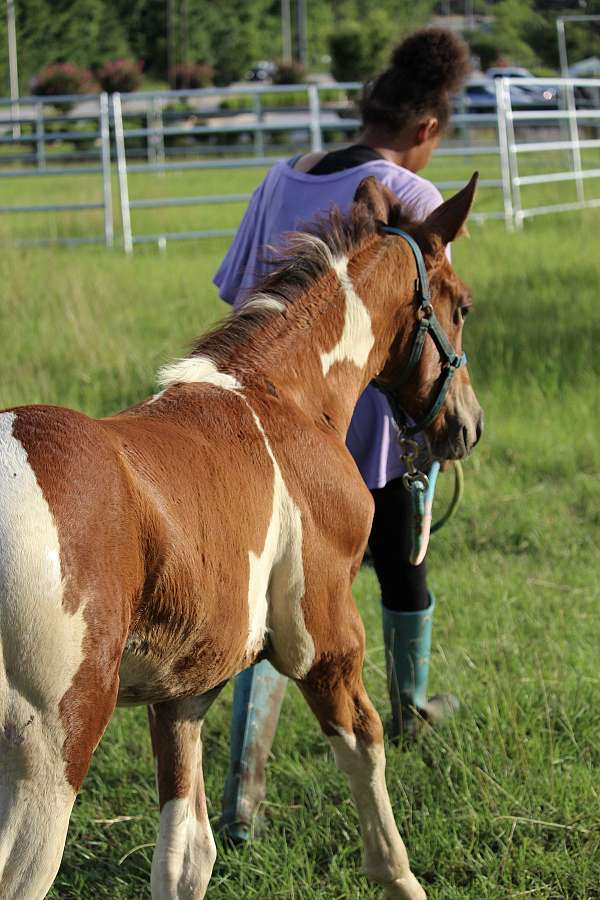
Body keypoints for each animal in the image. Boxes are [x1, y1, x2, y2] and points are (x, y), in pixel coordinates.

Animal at [0, 172, 480, 896]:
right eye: (462, 307)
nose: (467, 425)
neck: (284, 396)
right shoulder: (324, 637)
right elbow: (364, 745)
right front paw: (400, 876)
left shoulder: (184, 691)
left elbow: (184, 856)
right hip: (52, 748)